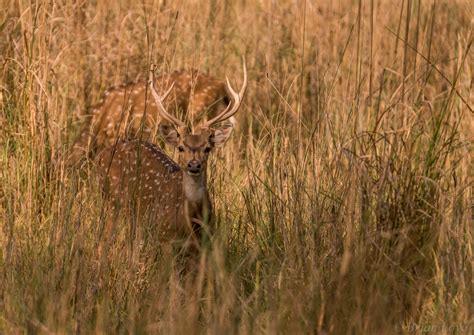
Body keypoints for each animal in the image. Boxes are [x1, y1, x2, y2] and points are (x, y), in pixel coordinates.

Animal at [95, 61, 246, 255]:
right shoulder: (164, 238)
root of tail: (102, 154)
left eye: (207, 148)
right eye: (181, 147)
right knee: (103, 242)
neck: (191, 222)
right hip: (112, 202)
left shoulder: (205, 243)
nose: (194, 165)